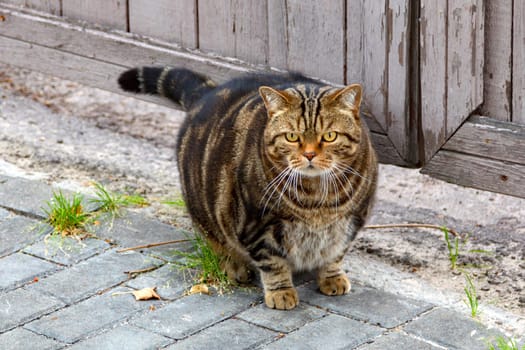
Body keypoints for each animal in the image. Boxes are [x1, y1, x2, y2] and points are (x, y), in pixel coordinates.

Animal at [117, 67, 376, 310]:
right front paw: (281, 292)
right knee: (214, 241)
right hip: (204, 210)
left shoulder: (353, 220)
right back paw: (233, 266)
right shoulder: (258, 225)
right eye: (292, 137)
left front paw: (332, 277)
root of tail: (208, 92)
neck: (317, 200)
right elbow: (273, 264)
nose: (310, 154)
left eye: (330, 136)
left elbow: (335, 254)